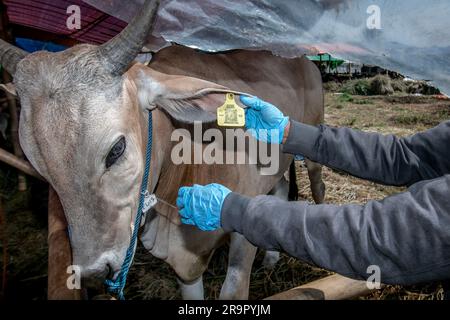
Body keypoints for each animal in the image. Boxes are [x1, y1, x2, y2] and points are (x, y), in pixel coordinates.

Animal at [0, 0, 324, 300]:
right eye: (38, 165)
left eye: (116, 150)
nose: (93, 273)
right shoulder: (184, 268)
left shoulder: (243, 232)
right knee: (281, 186)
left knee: (317, 184)